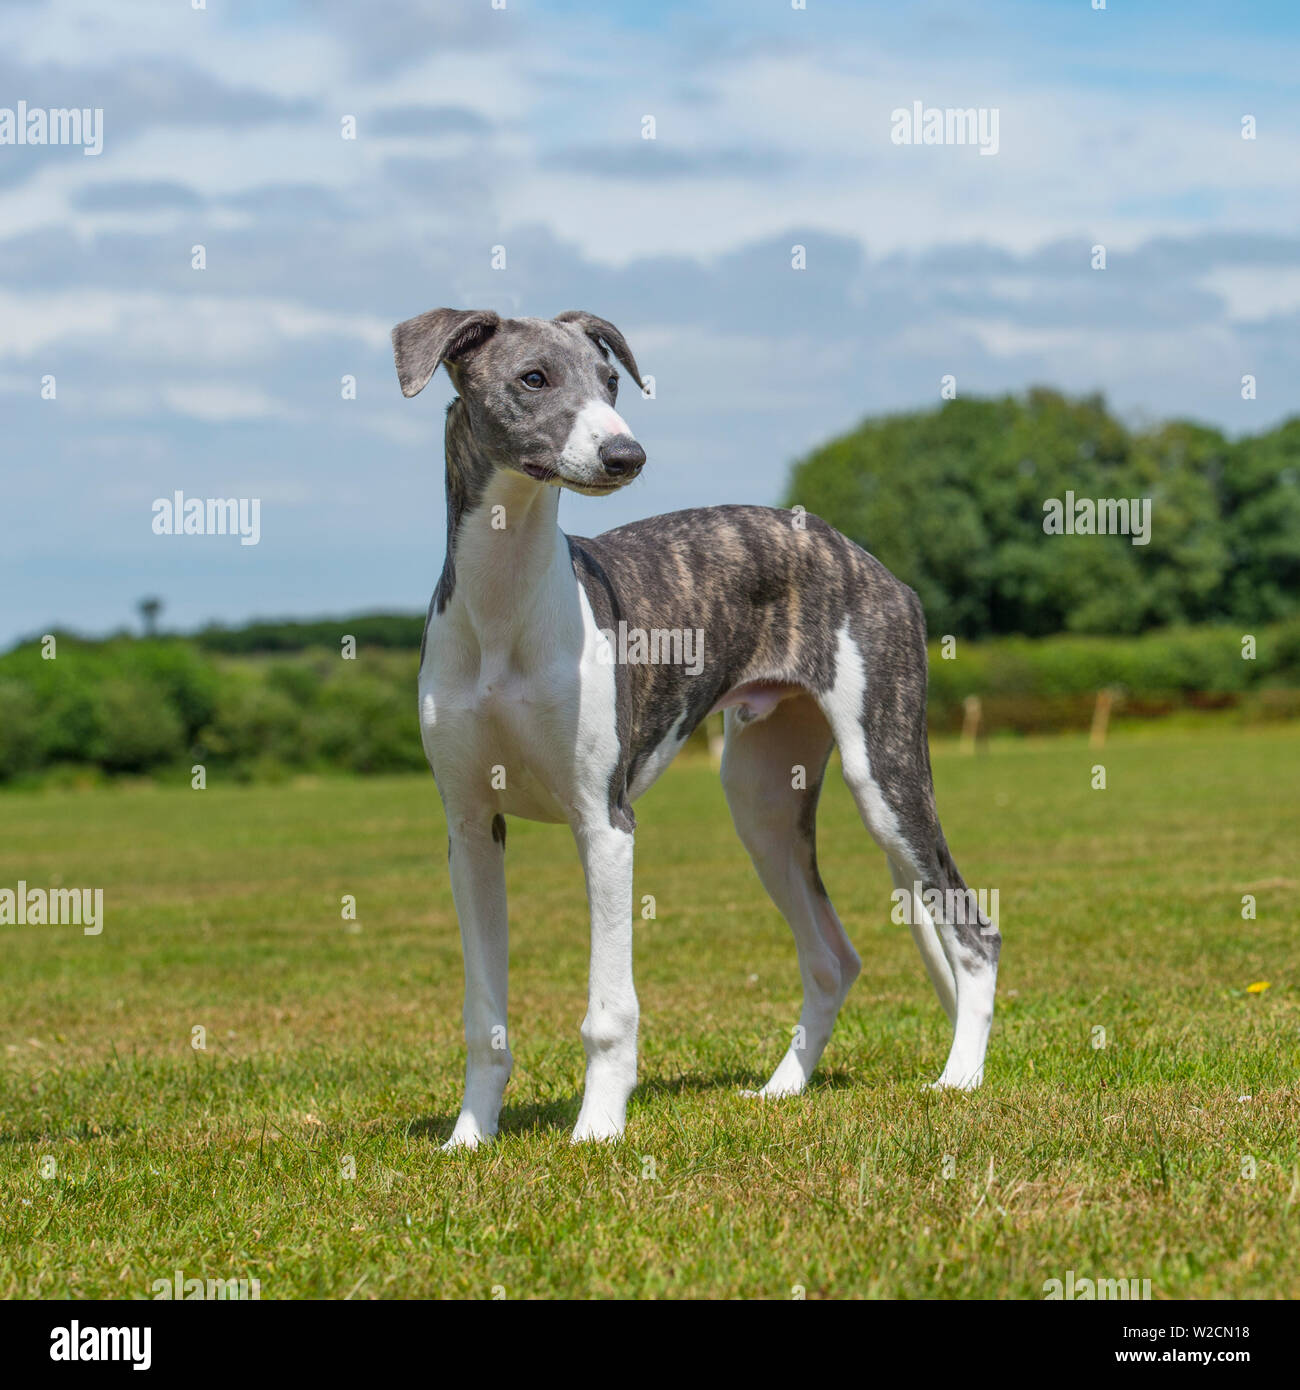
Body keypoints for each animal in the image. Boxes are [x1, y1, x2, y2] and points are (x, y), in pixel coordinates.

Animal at [392, 309, 1001, 1145]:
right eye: (533, 378)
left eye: (610, 382)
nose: (626, 454)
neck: (503, 607)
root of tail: (868, 561)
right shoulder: (470, 829)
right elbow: (483, 1015)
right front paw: (469, 1140)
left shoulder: (605, 821)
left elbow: (609, 1011)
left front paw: (598, 1130)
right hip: (762, 802)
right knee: (833, 958)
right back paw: (782, 1089)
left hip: (885, 774)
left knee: (973, 932)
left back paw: (959, 1077)